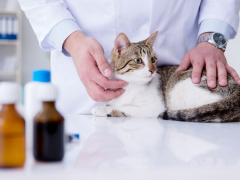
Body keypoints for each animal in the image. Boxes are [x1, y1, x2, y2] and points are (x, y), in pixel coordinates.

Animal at [91, 32, 240, 122]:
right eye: (138, 60)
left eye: (153, 59)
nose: (152, 70)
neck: (130, 86)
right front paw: (106, 105)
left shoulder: (153, 108)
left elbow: (124, 108)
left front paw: (103, 109)